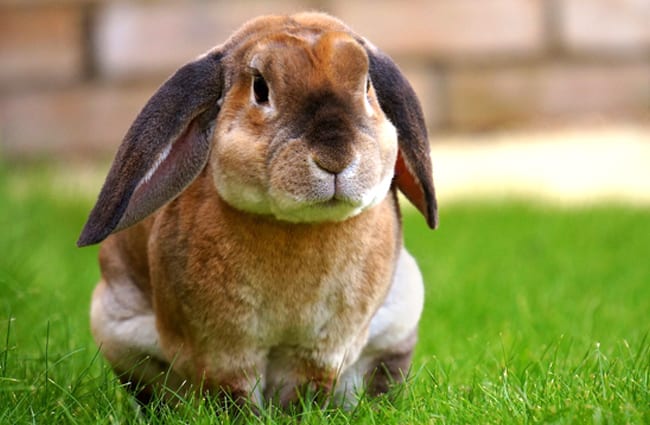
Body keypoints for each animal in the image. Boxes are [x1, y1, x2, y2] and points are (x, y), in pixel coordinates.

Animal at [78, 11, 438, 410]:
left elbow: (305, 391)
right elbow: (234, 394)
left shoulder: (320, 351)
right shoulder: (224, 350)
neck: (297, 227)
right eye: (260, 89)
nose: (335, 158)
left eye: (367, 86)